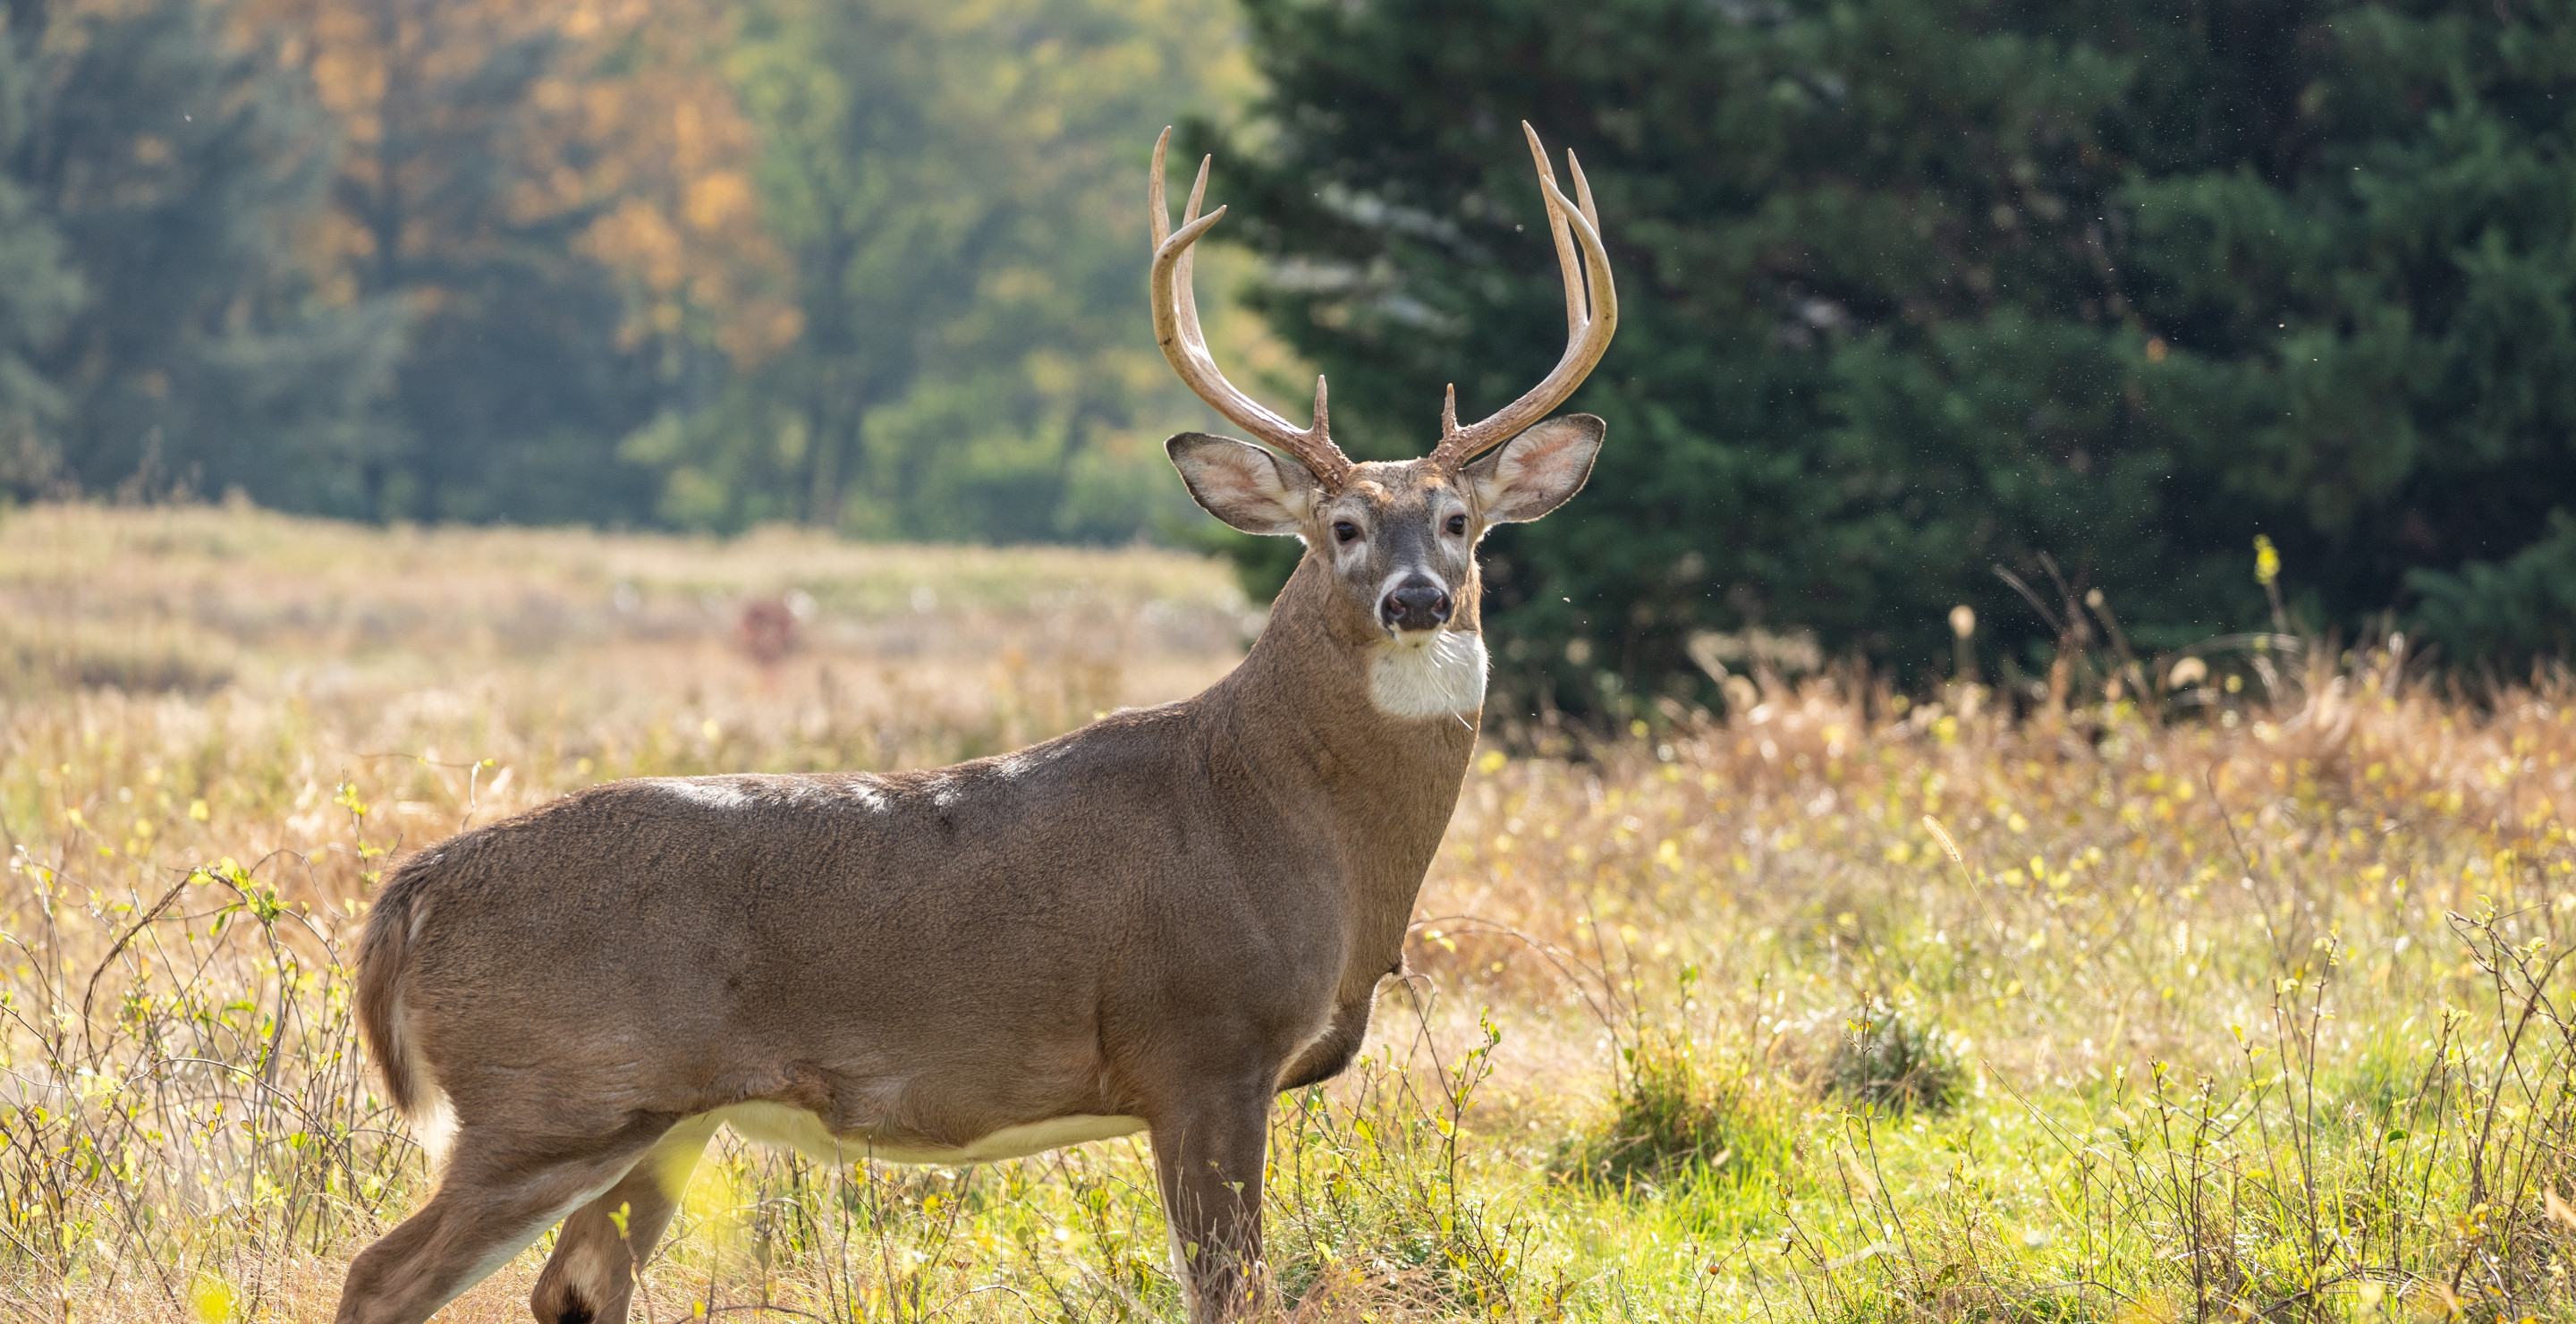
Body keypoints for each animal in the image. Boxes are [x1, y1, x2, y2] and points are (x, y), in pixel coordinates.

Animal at [322, 123, 1607, 1319]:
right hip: (555, 1094)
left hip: (659, 1117)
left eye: (1458, 522)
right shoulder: (1202, 1042)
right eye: (1341, 527)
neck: (1287, 817)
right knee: (383, 1272)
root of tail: (412, 893)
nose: (1416, 598)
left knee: (575, 1287)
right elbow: (1230, 1293)